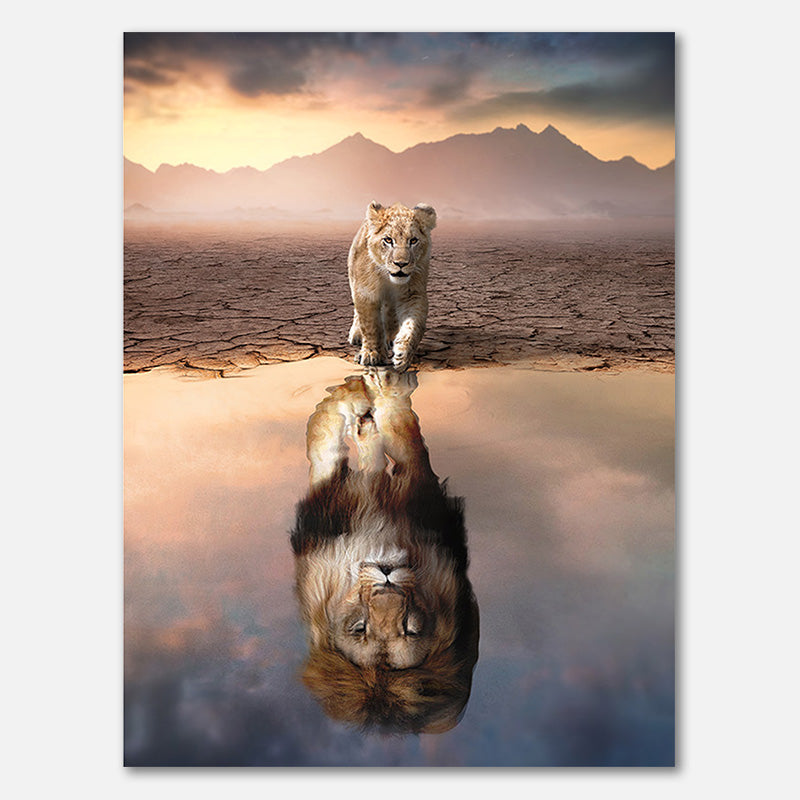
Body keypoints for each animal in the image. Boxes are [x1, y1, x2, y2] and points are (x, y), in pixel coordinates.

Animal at [290, 369, 479, 734]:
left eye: (411, 628)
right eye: (360, 628)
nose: (387, 577)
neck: (380, 536)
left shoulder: (421, 491)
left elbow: (402, 429)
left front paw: (387, 392)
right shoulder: (328, 505)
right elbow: (323, 440)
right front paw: (346, 399)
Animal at [347, 201, 437, 372]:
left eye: (413, 240)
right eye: (388, 240)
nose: (401, 264)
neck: (387, 278)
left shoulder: (413, 294)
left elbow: (413, 326)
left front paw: (403, 355)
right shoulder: (365, 293)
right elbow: (371, 326)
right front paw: (371, 354)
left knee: (390, 311)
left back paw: (391, 337)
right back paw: (356, 334)